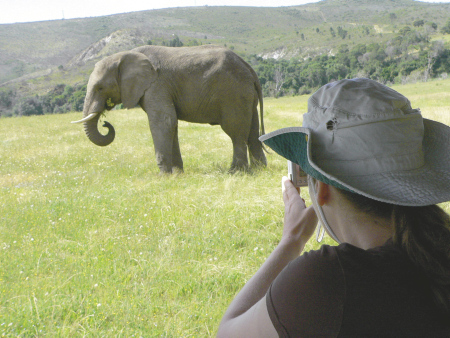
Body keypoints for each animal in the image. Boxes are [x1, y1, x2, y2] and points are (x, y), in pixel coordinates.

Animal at [71, 44, 266, 173]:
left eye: (100, 88)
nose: (105, 124)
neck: (126, 55)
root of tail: (250, 69)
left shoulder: (156, 85)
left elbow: (163, 121)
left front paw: (163, 176)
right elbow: (172, 124)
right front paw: (177, 174)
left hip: (233, 94)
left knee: (235, 132)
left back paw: (236, 172)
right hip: (245, 95)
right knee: (253, 133)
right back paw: (260, 170)